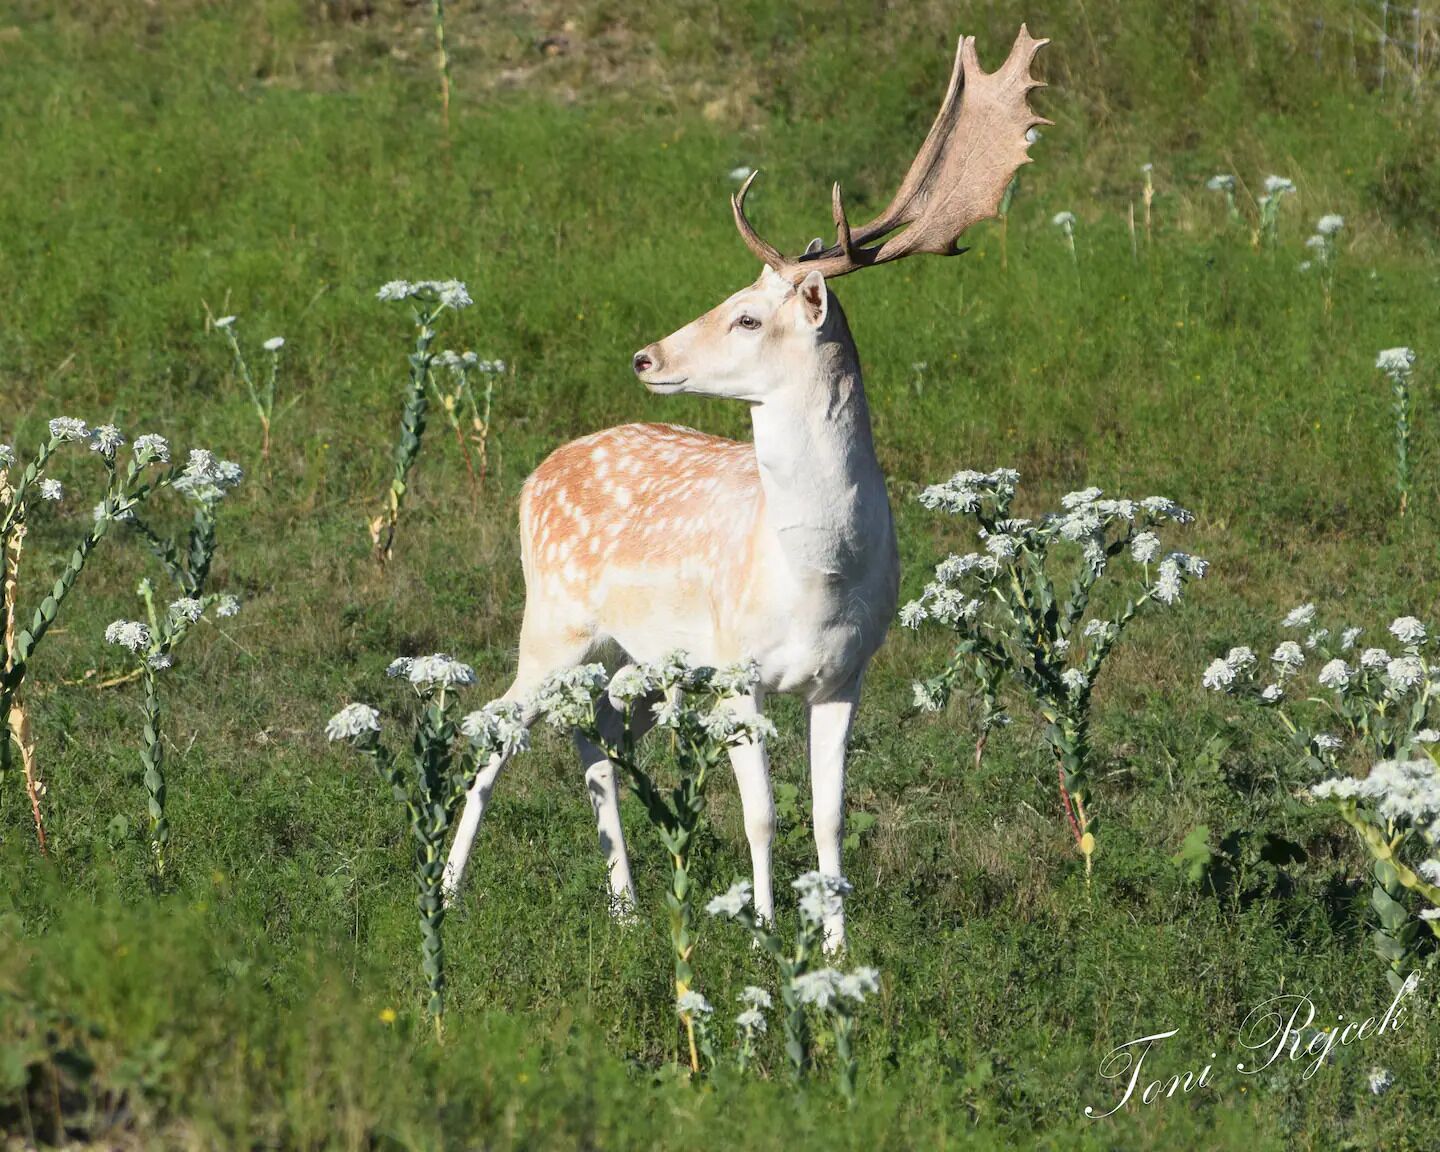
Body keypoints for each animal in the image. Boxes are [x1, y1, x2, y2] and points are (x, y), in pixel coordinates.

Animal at [442, 26, 1048, 951]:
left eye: (748, 317)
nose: (646, 355)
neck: (815, 575)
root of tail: (535, 474)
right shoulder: (737, 670)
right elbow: (760, 813)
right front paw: (764, 932)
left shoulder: (847, 674)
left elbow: (830, 818)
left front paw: (836, 946)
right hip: (552, 622)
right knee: (497, 724)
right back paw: (444, 889)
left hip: (639, 658)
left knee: (597, 732)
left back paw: (625, 903)